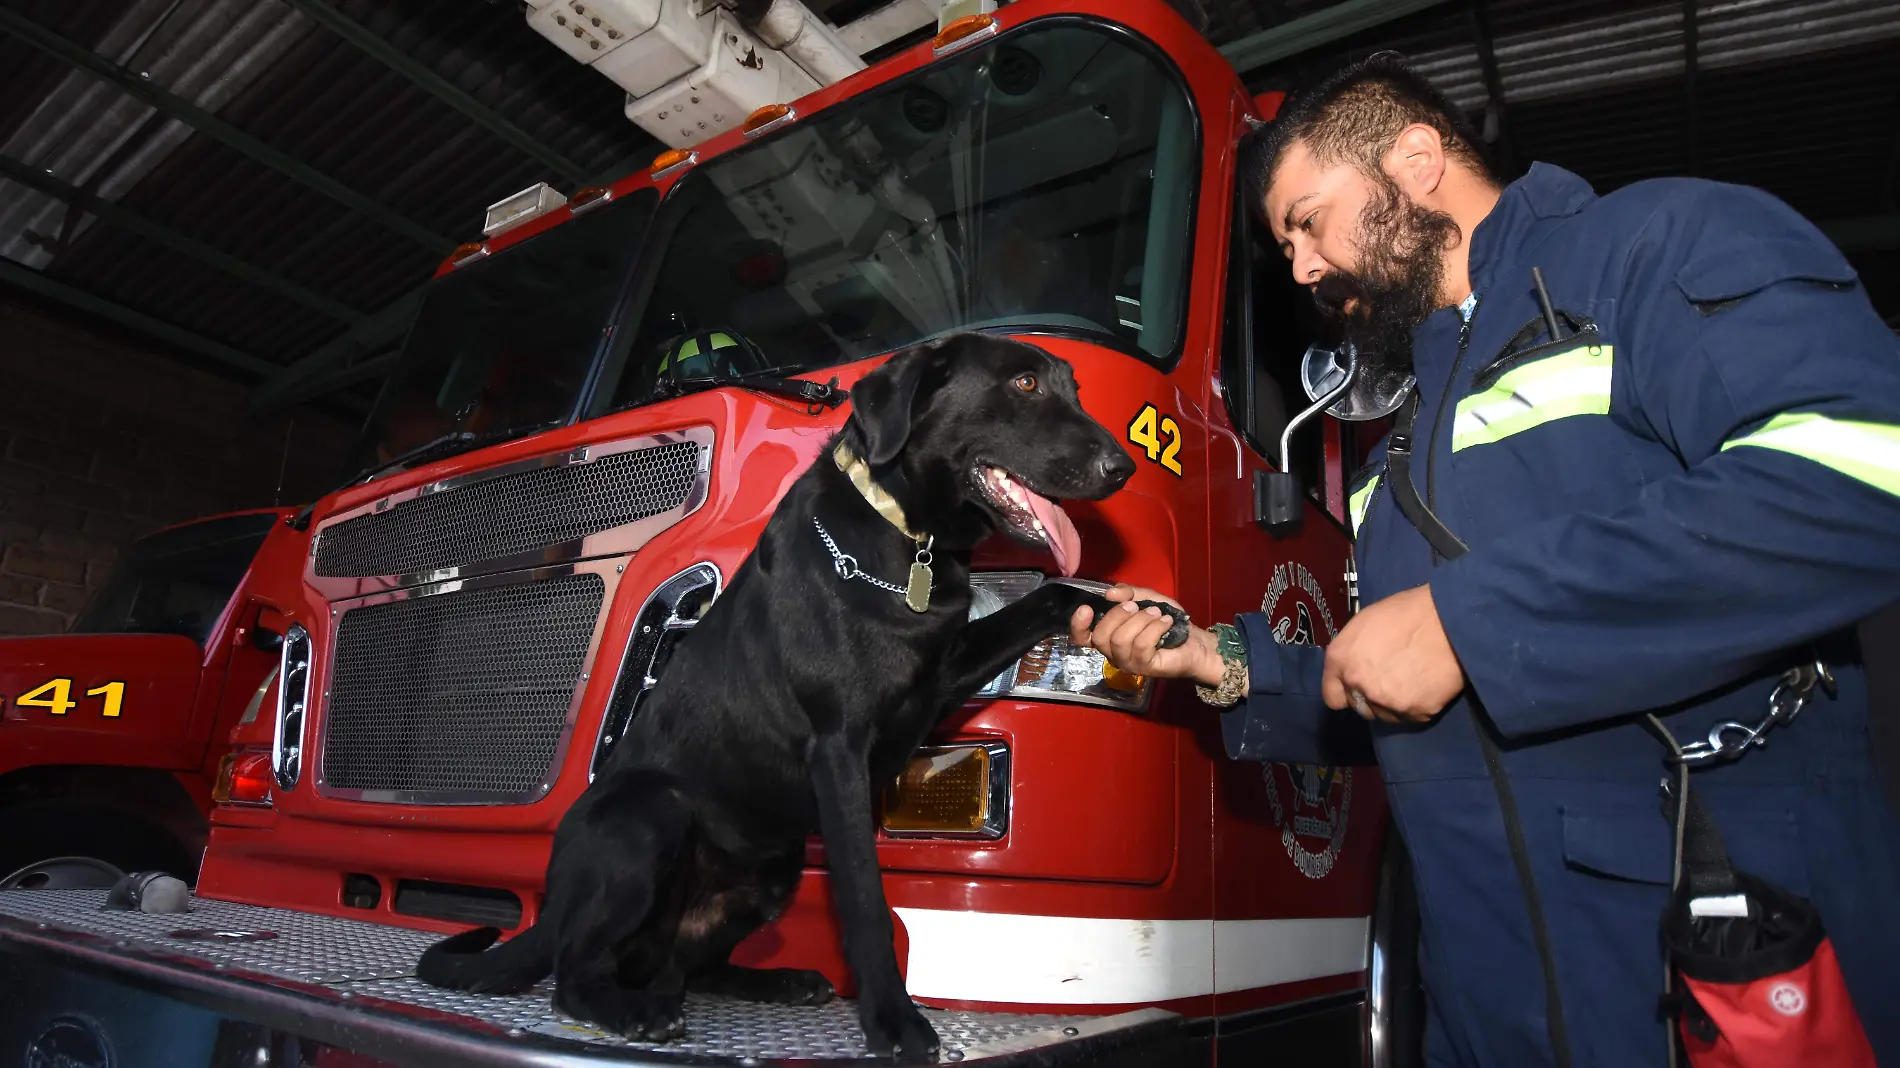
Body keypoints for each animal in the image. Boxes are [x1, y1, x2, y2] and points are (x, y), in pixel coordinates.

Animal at [416, 332, 1170, 1056]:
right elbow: (864, 899)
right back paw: (635, 1013)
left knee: (682, 967)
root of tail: (552, 907)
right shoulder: (838, 750)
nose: (1122, 468)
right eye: (1025, 383)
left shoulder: (944, 666)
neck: (904, 535)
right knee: (574, 974)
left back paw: (768, 981)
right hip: (647, 815)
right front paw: (894, 1023)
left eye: (1072, 388)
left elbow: (1051, 593)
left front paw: (1140, 616)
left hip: (769, 875)